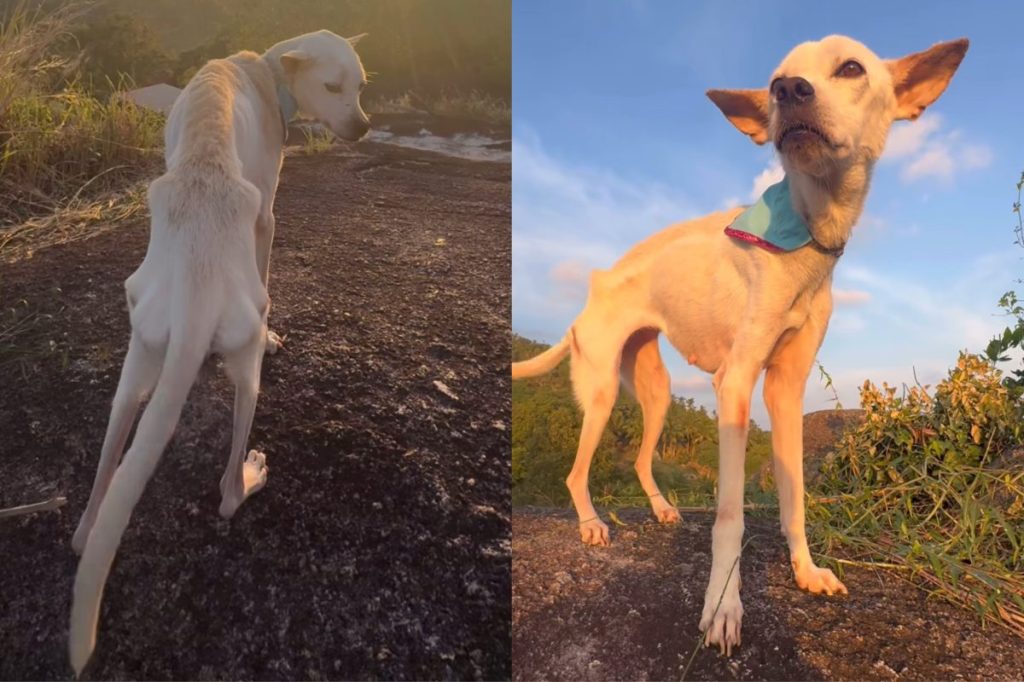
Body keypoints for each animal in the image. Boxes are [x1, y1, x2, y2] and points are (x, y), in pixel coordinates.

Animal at [69, 29, 372, 671]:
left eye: (362, 86)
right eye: (334, 86)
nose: (364, 128)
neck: (265, 68)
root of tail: (197, 279)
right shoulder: (269, 214)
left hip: (137, 364)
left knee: (95, 507)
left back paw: (89, 524)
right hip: (247, 364)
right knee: (228, 493)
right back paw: (249, 475)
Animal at [512, 37, 966, 655]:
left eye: (851, 67)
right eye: (776, 80)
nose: (790, 92)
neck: (807, 231)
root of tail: (594, 288)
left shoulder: (786, 391)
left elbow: (794, 498)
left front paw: (805, 571)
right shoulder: (736, 383)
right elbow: (730, 514)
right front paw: (723, 608)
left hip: (656, 393)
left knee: (640, 456)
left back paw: (662, 509)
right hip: (601, 392)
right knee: (576, 473)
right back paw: (590, 524)